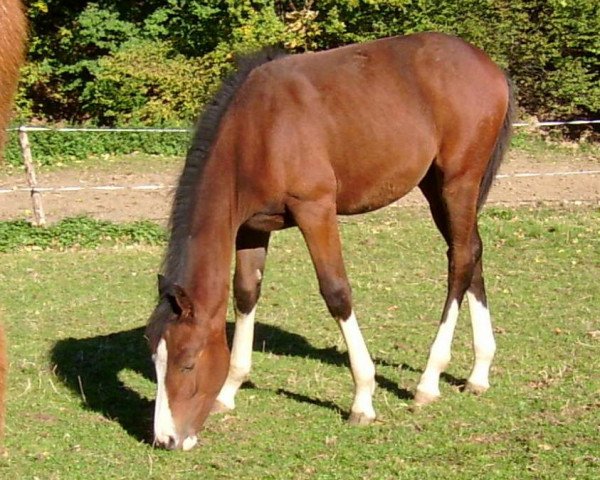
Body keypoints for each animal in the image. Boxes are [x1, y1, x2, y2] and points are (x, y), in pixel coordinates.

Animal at [148, 32, 512, 450]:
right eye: (154, 361)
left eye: (188, 362)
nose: (166, 439)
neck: (258, 131)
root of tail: (488, 65)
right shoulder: (252, 227)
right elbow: (245, 294)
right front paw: (229, 390)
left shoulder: (316, 211)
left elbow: (336, 292)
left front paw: (363, 399)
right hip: (436, 187)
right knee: (471, 252)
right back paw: (479, 373)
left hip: (459, 181)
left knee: (460, 262)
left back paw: (428, 381)